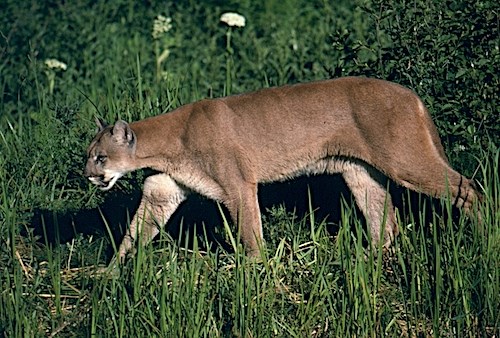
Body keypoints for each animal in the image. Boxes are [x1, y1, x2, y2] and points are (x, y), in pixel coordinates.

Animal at [85, 76, 480, 262]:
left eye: (101, 157)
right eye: (89, 156)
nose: (88, 175)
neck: (166, 143)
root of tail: (410, 94)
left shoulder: (238, 184)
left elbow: (250, 232)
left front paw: (254, 272)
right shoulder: (161, 192)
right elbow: (134, 233)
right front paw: (109, 274)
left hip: (405, 161)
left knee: (470, 189)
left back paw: (484, 232)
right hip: (360, 171)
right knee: (384, 218)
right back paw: (371, 261)